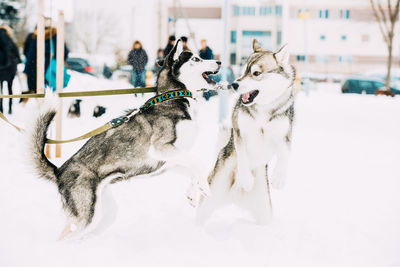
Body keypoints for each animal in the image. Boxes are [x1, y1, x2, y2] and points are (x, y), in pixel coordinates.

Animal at [29, 39, 220, 241]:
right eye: (196, 59)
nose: (220, 62)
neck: (172, 98)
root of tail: (59, 171)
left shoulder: (170, 160)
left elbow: (193, 170)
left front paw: (193, 192)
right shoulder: (160, 148)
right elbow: (198, 163)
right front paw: (205, 188)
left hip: (105, 213)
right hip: (85, 214)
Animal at [196, 39, 294, 224]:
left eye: (256, 73)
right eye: (244, 71)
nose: (234, 84)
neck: (264, 110)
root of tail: (236, 195)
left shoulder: (284, 135)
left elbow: (285, 154)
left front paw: (279, 177)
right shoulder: (239, 131)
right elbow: (242, 154)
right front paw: (246, 178)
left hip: (265, 214)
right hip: (210, 198)